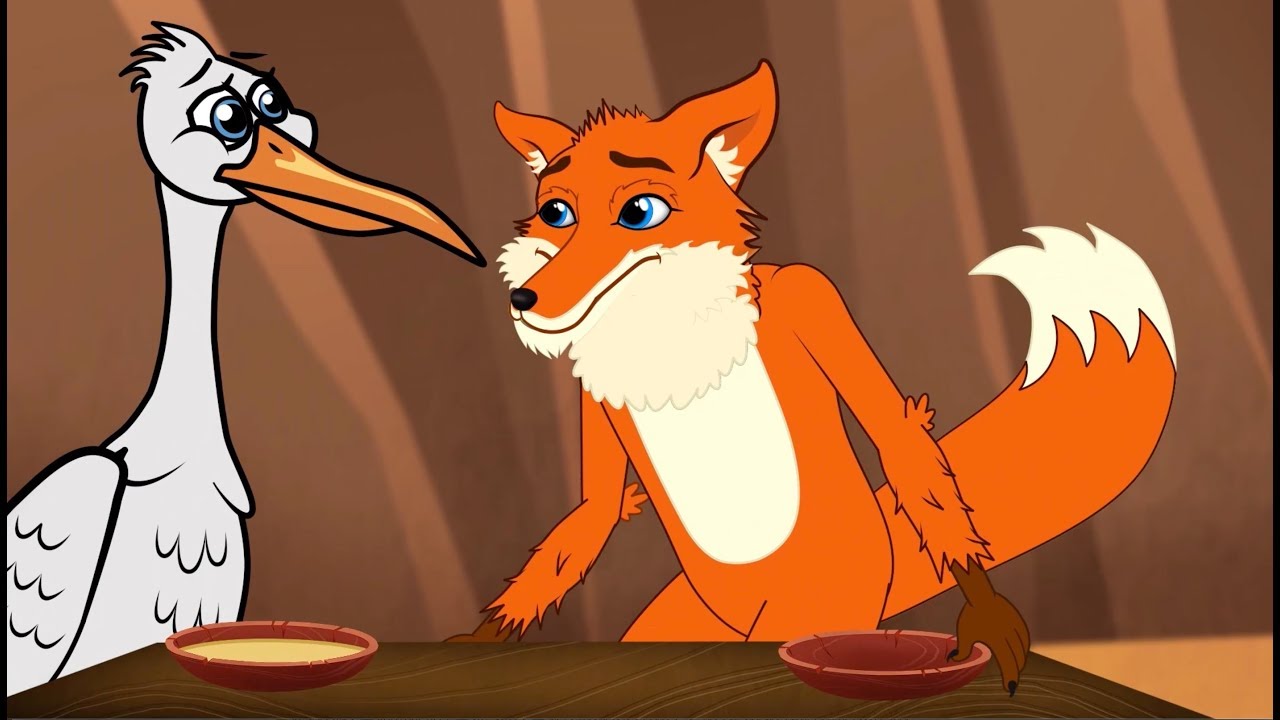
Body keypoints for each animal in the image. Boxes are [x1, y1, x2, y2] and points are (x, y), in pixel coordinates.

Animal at [453, 59, 1177, 693]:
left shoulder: (814, 297)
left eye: (639, 213)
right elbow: (590, 517)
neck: (670, 338)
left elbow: (897, 439)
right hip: (688, 618)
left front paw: (987, 617)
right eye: (556, 214)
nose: (525, 299)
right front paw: (479, 641)